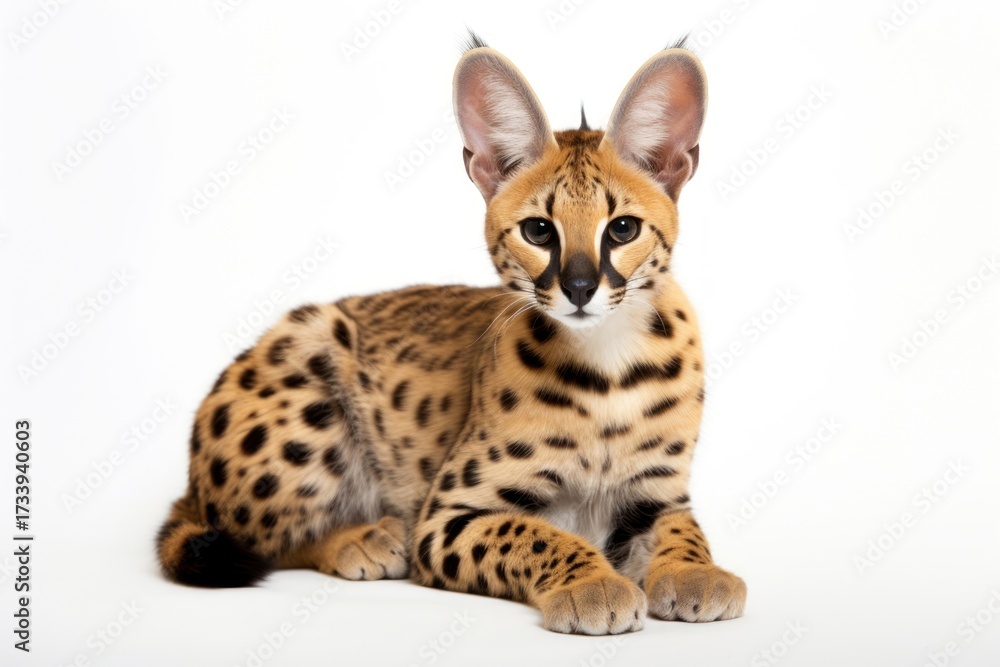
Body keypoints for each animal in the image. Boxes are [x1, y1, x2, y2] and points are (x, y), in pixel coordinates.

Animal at [156, 34, 747, 635]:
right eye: (539, 231)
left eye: (622, 229)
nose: (580, 288)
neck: (609, 362)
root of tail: (190, 481)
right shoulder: (448, 514)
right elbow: (536, 534)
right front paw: (592, 583)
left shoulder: (659, 491)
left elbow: (683, 529)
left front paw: (697, 572)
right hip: (312, 354)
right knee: (257, 535)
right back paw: (364, 538)